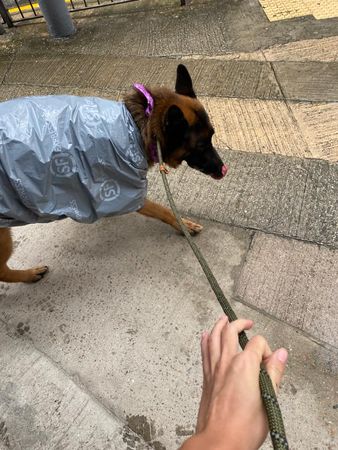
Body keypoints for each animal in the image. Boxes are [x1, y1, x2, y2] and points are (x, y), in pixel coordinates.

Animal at [0, 65, 227, 284]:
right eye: (200, 145)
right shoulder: (126, 191)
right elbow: (163, 210)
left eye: (212, 136)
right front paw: (183, 225)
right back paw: (29, 275)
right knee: (2, 272)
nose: (223, 170)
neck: (137, 125)